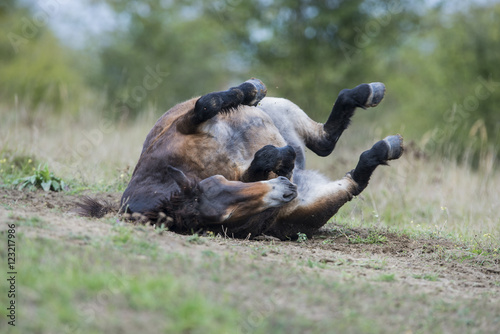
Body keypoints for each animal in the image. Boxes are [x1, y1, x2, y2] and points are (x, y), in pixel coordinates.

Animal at [79, 78, 406, 240]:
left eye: (216, 184)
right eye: (223, 218)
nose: (286, 190)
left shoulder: (187, 124)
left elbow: (207, 103)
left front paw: (251, 90)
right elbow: (266, 159)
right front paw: (279, 157)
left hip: (282, 109)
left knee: (323, 139)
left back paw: (368, 93)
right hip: (320, 201)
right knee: (348, 167)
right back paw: (386, 146)